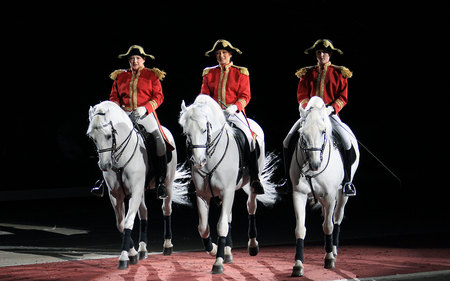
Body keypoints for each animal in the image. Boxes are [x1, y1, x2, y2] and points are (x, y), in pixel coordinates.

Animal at [86, 100, 190, 270]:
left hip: (167, 183)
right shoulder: (116, 195)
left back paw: (167, 245)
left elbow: (128, 221)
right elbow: (121, 224)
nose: (105, 165)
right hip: (141, 190)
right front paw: (133, 253)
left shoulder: (134, 190)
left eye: (108, 135)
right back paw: (142, 249)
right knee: (144, 213)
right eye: (92, 137)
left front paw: (124, 257)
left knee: (166, 209)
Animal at [178, 94, 278, 274]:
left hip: (250, 185)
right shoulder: (203, 195)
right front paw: (213, 249)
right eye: (186, 132)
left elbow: (222, 226)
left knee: (251, 207)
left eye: (204, 129)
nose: (198, 161)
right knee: (229, 216)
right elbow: (203, 228)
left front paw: (218, 262)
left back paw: (252, 245)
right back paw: (228, 251)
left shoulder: (227, 191)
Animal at [290, 96, 360, 276]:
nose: (315, 165)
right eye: (302, 134)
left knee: (337, 217)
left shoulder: (329, 195)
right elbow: (300, 229)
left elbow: (328, 225)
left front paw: (329, 259)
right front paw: (298, 264)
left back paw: (333, 250)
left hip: (342, 194)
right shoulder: (299, 194)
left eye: (323, 132)